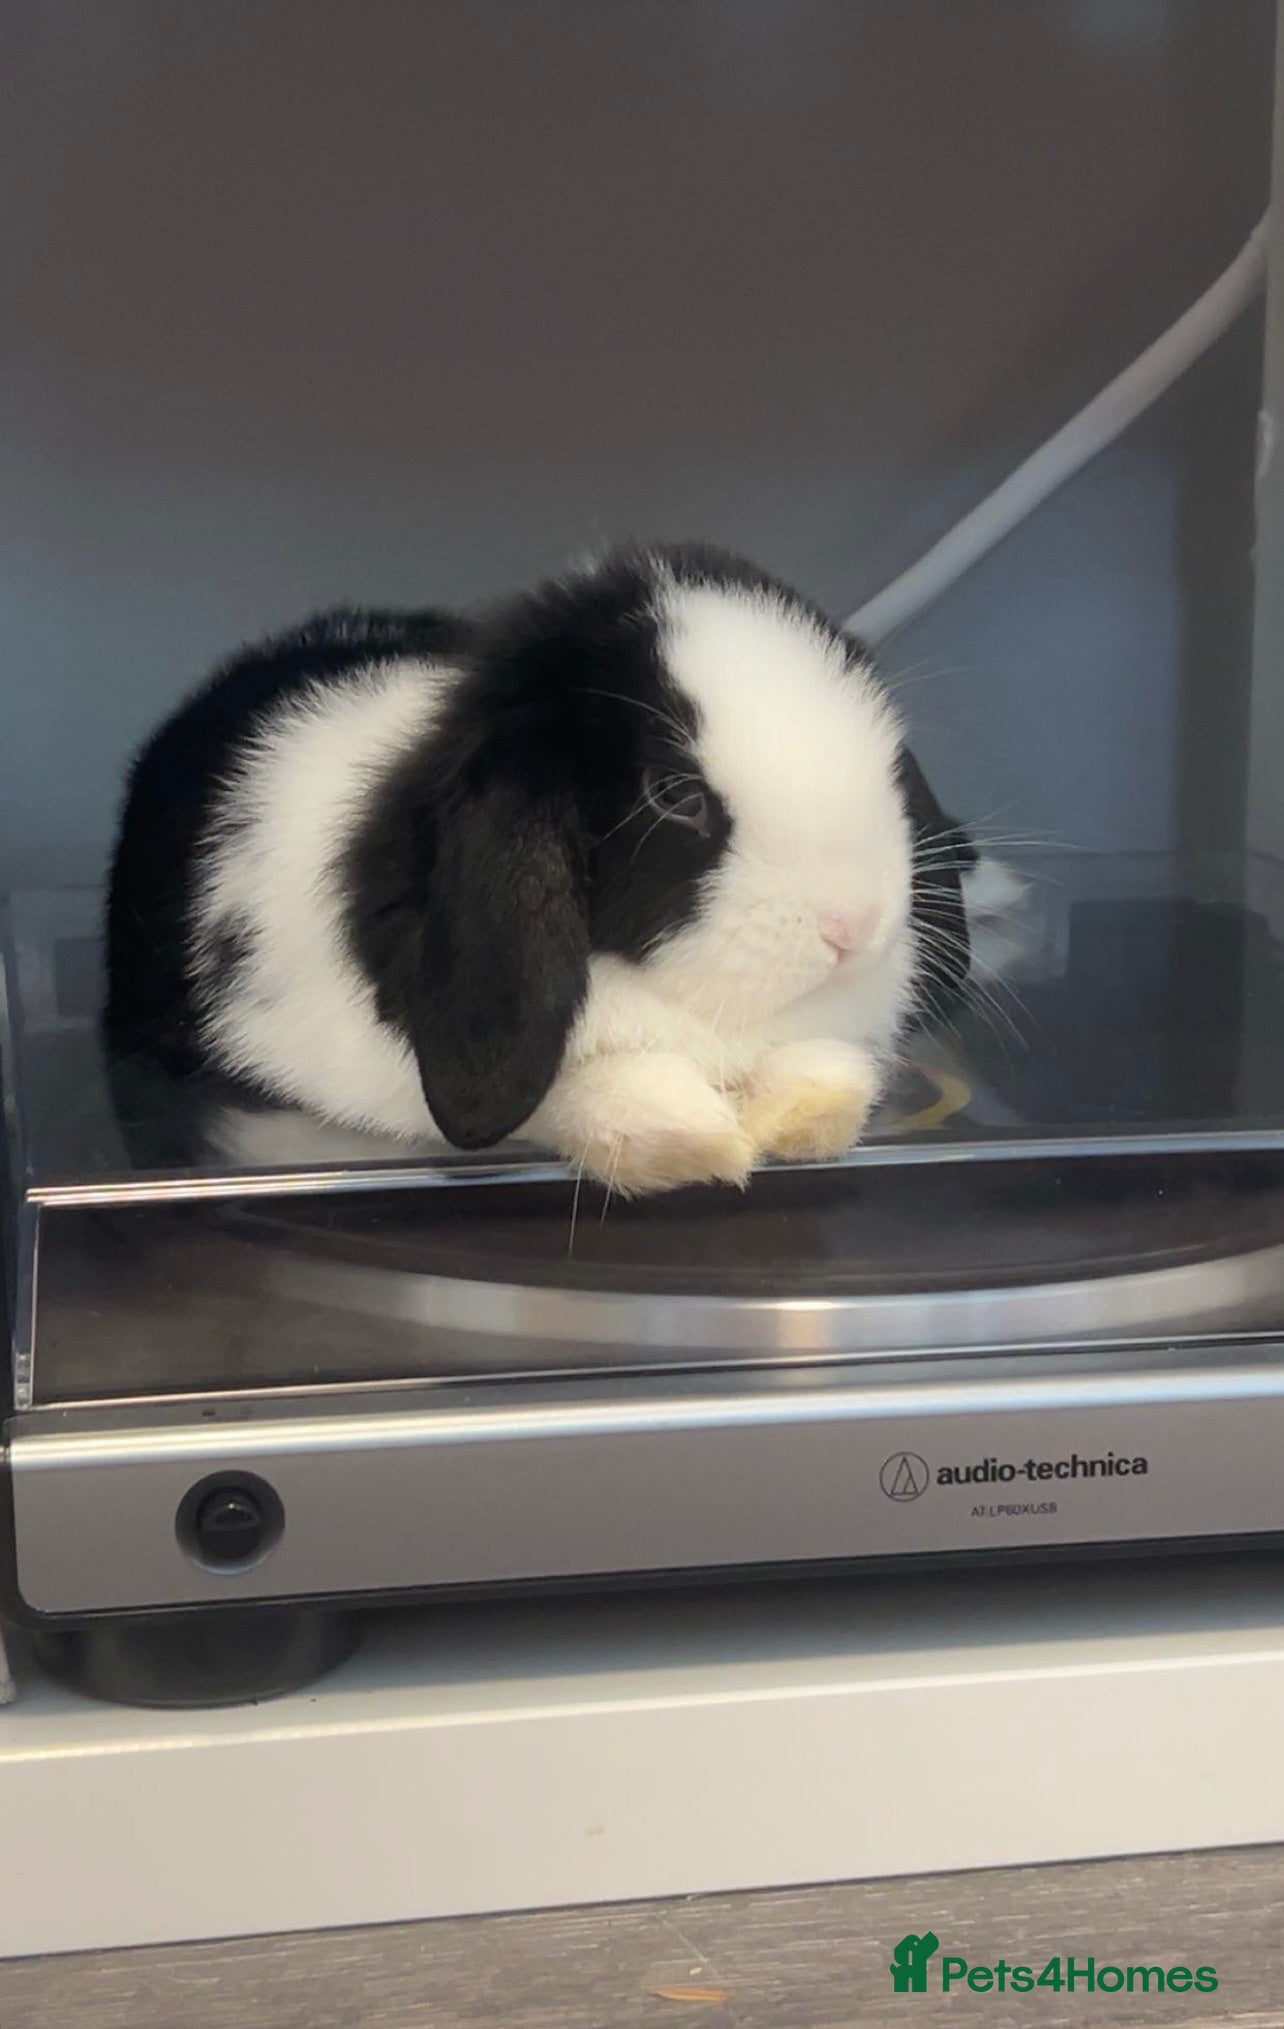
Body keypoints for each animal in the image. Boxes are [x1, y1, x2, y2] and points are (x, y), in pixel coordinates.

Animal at [106, 542, 983, 1195]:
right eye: (674, 794)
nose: (856, 924)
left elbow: (832, 1069)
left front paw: (795, 1120)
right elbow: (578, 1089)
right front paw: (701, 1141)